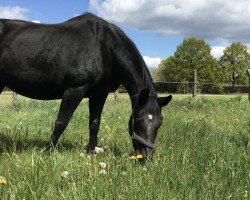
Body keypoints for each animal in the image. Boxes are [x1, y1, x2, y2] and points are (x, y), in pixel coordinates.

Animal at [0, 13, 172, 159]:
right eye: (138, 118)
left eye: (160, 122)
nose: (146, 156)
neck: (104, 47)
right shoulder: (74, 90)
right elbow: (61, 122)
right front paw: (47, 153)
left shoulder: (99, 94)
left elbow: (94, 124)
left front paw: (91, 154)